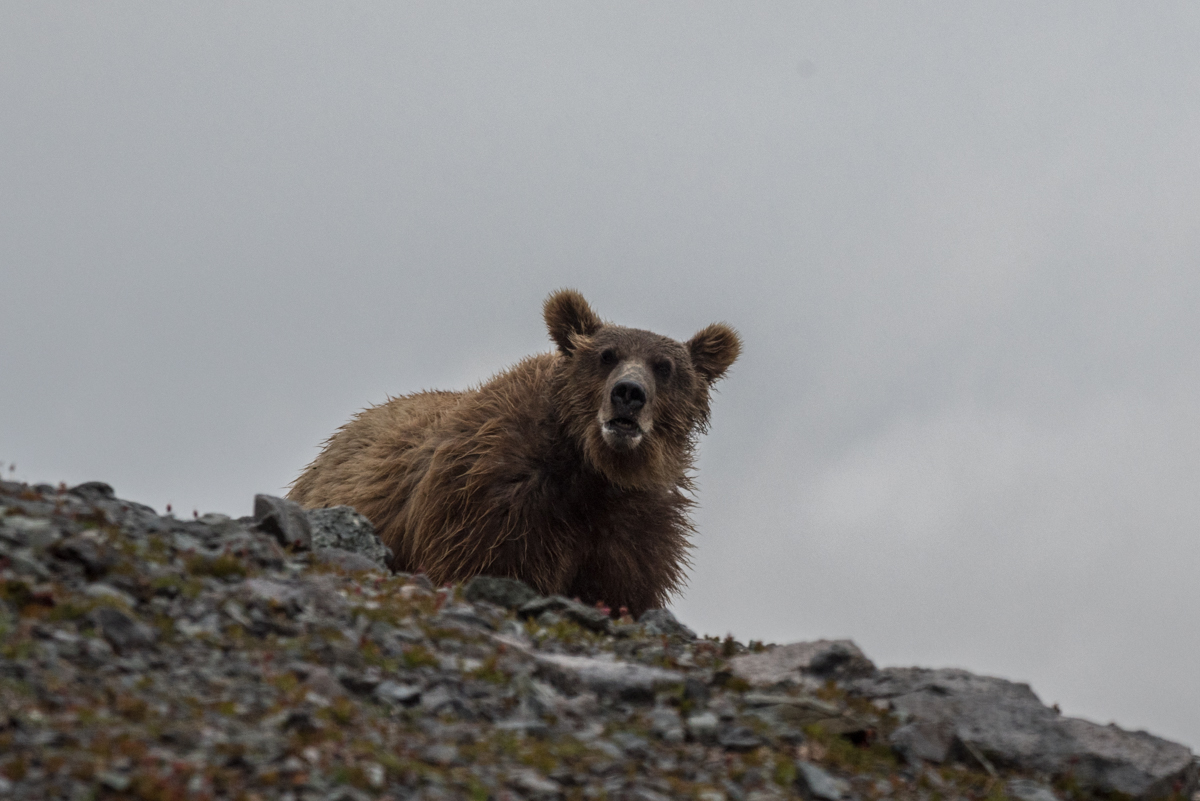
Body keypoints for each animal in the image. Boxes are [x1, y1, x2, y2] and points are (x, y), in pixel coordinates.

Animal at [290, 291, 739, 618]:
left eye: (663, 366)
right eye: (605, 355)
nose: (628, 393)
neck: (592, 473)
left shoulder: (634, 534)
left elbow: (623, 589)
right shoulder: (496, 506)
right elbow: (492, 566)